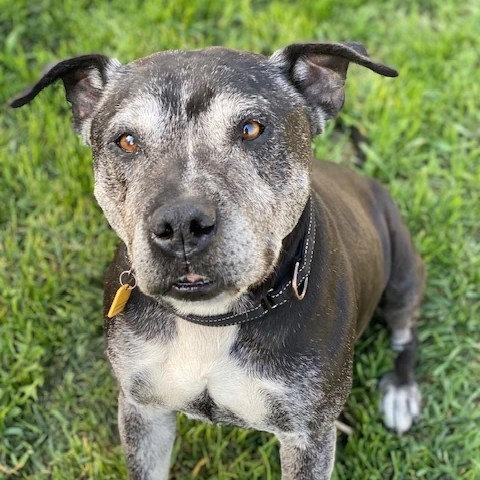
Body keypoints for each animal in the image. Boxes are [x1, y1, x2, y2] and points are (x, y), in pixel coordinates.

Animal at [11, 43, 424, 478]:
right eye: (126, 141)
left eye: (251, 129)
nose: (181, 224)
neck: (211, 319)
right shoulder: (142, 408)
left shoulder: (308, 436)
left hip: (403, 277)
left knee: (406, 332)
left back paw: (400, 393)